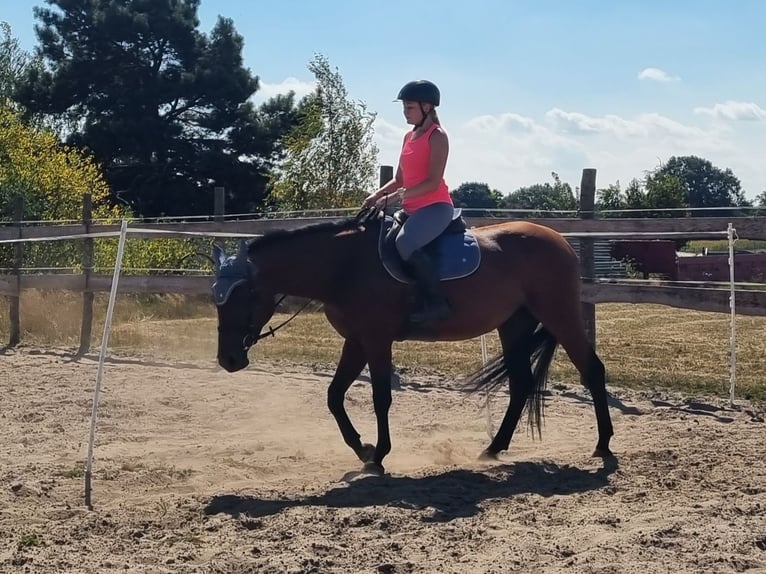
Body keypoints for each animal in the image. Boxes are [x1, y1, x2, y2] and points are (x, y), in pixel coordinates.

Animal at [213, 209, 616, 474]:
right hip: (514, 324)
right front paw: (362, 449)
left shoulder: (376, 340)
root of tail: (560, 241)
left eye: (244, 295)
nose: (228, 360)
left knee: (592, 371)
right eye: (217, 298)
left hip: (560, 315)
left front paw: (378, 456)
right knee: (520, 385)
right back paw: (493, 448)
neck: (344, 266)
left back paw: (603, 445)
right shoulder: (355, 341)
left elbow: (380, 397)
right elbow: (334, 396)